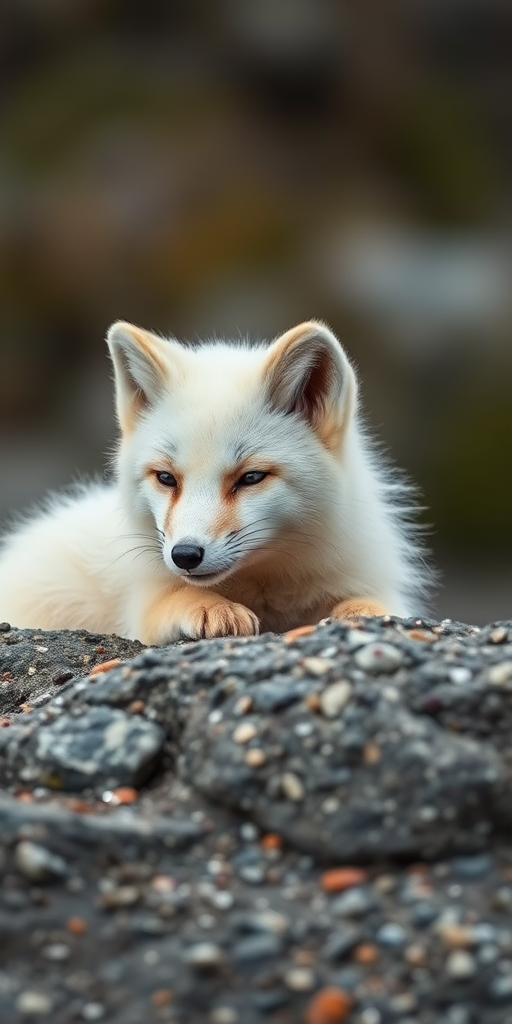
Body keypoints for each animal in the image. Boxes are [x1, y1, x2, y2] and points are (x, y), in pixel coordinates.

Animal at [0, 320, 432, 644]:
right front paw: (211, 608)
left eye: (251, 478)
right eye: (166, 478)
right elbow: (175, 597)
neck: (266, 590)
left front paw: (363, 614)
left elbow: (377, 605)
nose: (185, 555)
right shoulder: (143, 602)